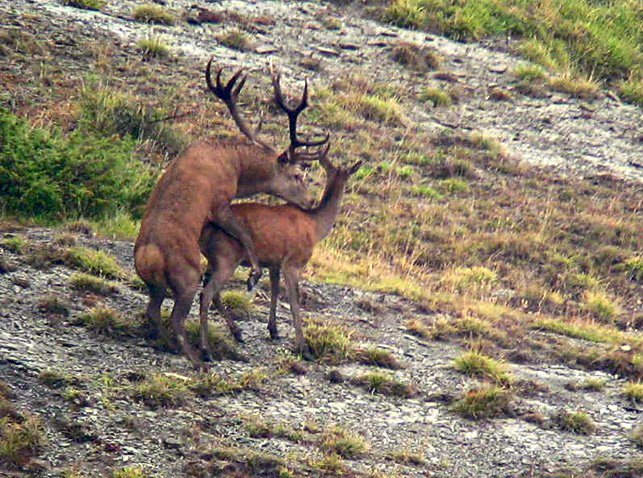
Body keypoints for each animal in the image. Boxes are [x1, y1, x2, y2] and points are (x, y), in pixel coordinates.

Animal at [134, 58, 330, 372]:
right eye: (297, 175)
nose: (310, 200)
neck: (237, 168)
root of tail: (148, 258)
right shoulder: (220, 200)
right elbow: (244, 236)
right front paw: (253, 275)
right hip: (187, 274)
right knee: (179, 313)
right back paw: (199, 357)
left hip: (154, 284)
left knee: (153, 310)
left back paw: (174, 345)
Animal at [200, 149, 362, 358]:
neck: (315, 226)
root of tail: (204, 229)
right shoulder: (292, 262)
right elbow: (294, 302)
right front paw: (303, 348)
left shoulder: (274, 262)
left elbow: (275, 291)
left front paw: (274, 330)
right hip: (227, 257)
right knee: (207, 293)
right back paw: (206, 350)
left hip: (215, 259)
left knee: (210, 290)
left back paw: (236, 333)